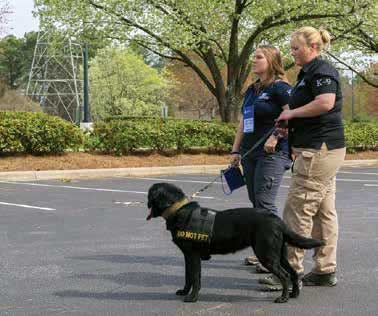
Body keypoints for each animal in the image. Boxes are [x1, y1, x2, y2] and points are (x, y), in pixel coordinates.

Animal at [146, 183, 324, 304]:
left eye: (149, 194)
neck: (178, 210)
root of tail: (277, 220)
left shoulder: (193, 255)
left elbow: (195, 278)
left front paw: (192, 298)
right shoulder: (188, 256)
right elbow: (188, 276)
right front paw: (184, 292)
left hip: (266, 254)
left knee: (285, 275)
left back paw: (283, 298)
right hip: (279, 254)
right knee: (293, 272)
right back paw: (294, 295)